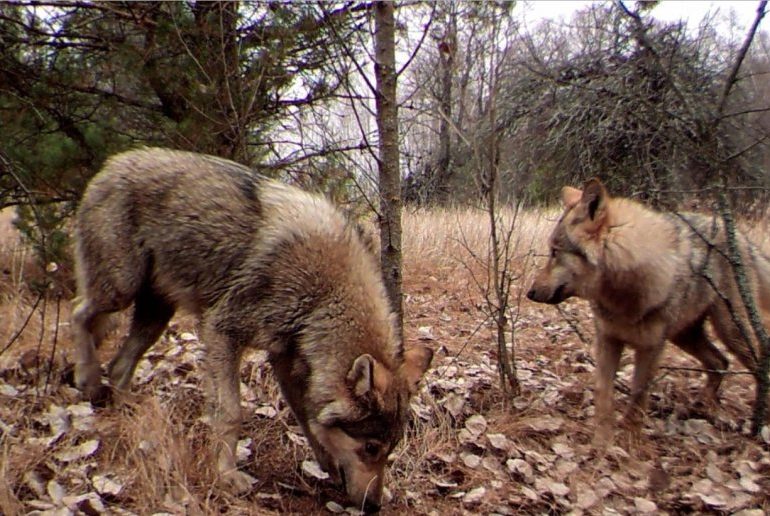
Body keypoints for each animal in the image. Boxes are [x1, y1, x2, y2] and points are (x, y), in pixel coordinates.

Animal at [72, 147, 432, 510]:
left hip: (155, 316)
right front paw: (227, 476)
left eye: (389, 451)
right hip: (120, 290)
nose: (374, 505)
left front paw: (328, 467)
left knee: (118, 364)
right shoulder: (221, 331)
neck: (325, 296)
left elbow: (310, 423)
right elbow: (231, 413)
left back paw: (124, 410)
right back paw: (87, 379)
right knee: (77, 314)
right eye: (371, 448)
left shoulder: (285, 361)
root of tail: (113, 162)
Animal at [524, 178, 764, 444]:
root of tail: (743, 238)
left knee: (756, 363)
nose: (530, 293)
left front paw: (630, 441)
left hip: (730, 329)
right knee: (719, 360)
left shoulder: (651, 347)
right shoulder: (607, 339)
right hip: (685, 335)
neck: (624, 294)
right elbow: (604, 393)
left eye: (555, 252)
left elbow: (638, 394)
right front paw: (601, 444)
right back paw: (701, 407)